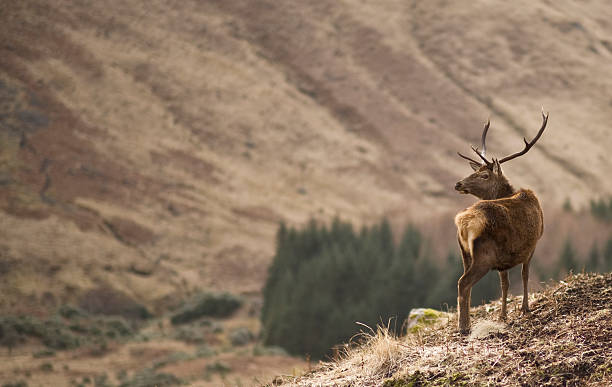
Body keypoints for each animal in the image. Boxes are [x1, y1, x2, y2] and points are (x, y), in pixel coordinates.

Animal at [452, 110, 548, 334]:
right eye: (477, 172)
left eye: (484, 175)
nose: (458, 184)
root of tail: (463, 222)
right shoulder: (532, 244)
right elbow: (524, 274)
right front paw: (525, 308)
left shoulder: (504, 257)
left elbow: (504, 284)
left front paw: (503, 315)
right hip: (484, 254)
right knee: (463, 283)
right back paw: (464, 326)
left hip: (465, 253)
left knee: (464, 283)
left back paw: (466, 323)